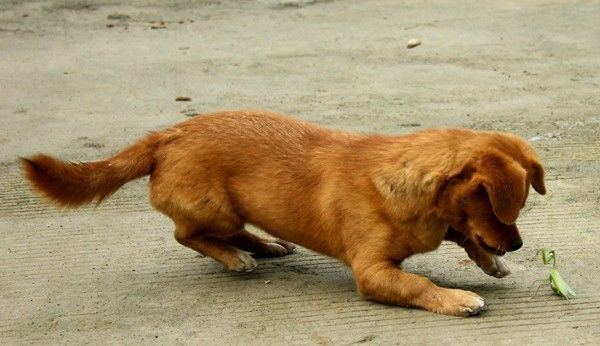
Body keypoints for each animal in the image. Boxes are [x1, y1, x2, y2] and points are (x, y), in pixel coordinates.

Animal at [22, 111, 544, 316]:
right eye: (505, 209)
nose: (517, 244)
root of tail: (167, 135)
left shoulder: (443, 223)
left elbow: (464, 235)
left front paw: (491, 262)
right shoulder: (373, 273)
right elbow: (417, 283)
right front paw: (457, 298)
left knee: (228, 232)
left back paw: (268, 245)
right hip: (217, 210)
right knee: (187, 234)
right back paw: (237, 258)